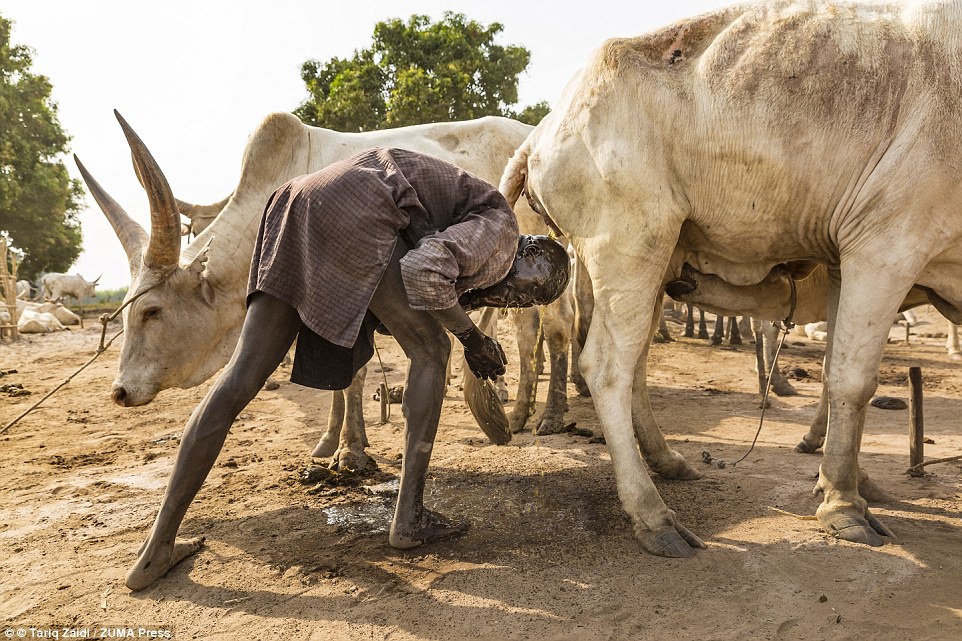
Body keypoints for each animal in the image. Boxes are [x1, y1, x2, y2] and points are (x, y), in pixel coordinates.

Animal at [498, 0, 960, 552]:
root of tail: (542, 131)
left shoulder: (842, 261)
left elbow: (834, 371)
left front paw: (845, 480)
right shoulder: (887, 245)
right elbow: (853, 380)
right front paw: (845, 506)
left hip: (657, 259)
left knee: (636, 364)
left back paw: (669, 463)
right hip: (629, 241)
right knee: (607, 367)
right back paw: (653, 515)